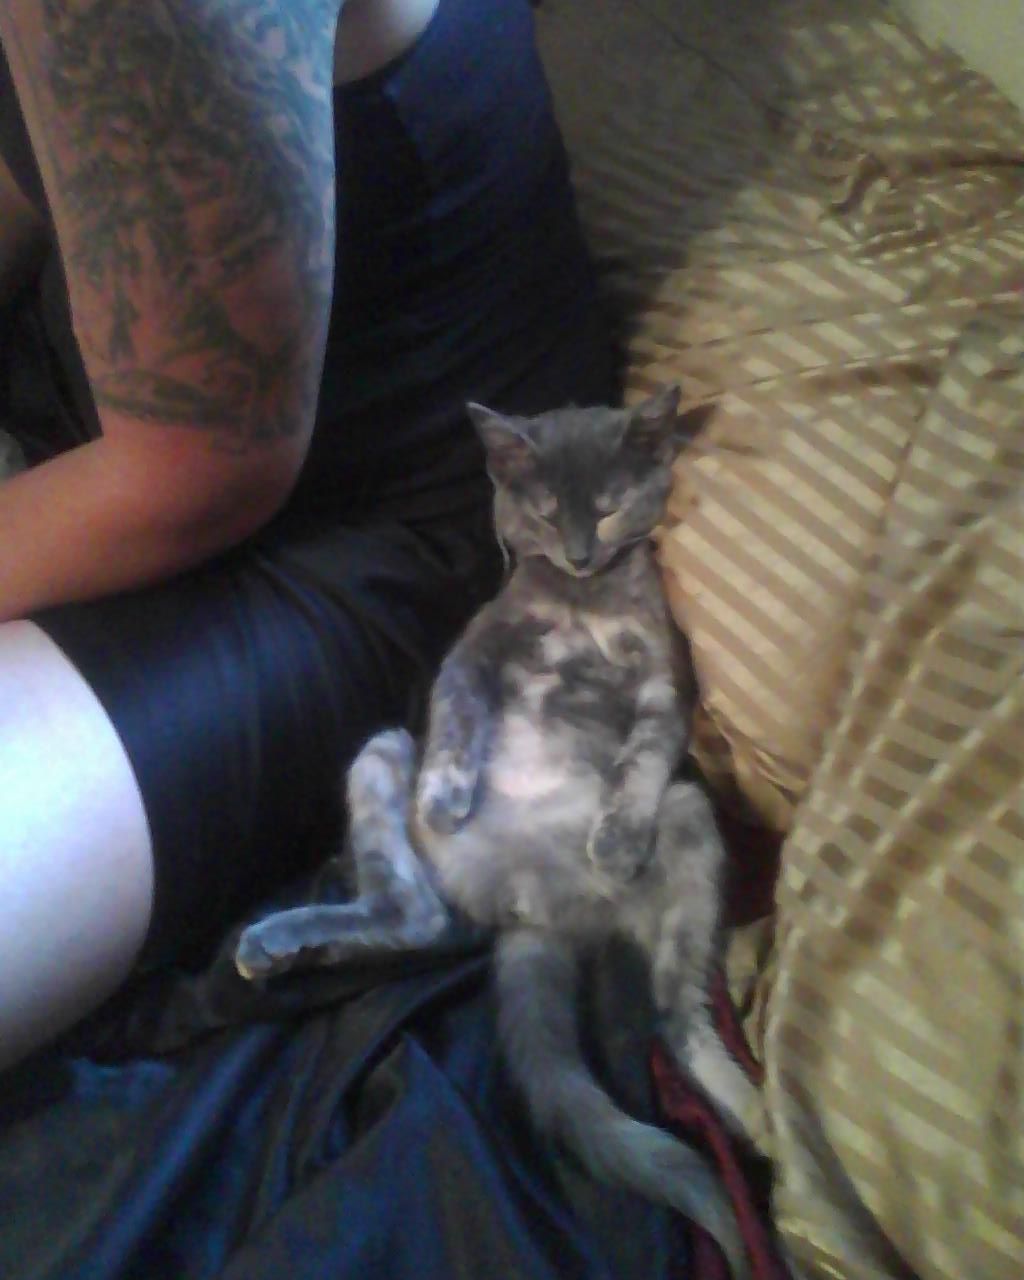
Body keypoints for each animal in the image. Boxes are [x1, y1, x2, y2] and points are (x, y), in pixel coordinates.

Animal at [235, 386, 758, 1279]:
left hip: (691, 818)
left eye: (610, 508)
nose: (581, 556)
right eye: (547, 515)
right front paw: (448, 793)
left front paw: (617, 838)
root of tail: (528, 909)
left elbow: (648, 753)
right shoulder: (476, 647)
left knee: (675, 1013)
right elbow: (454, 712)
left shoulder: (664, 680)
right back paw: (285, 942)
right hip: (383, 752)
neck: (582, 606)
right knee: (412, 913)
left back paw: (752, 1111)